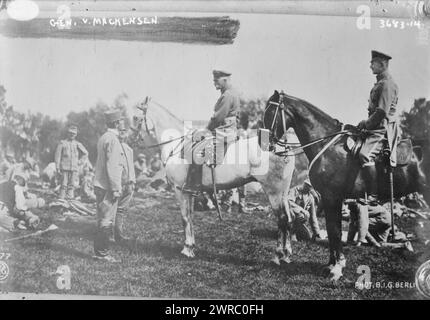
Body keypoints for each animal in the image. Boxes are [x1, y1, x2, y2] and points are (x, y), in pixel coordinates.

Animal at [264, 90, 428, 280]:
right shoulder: (329, 199)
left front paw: (337, 268)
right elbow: (331, 230)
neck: (328, 146)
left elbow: (334, 231)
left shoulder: (332, 197)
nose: (267, 144)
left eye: (270, 112)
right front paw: (331, 264)